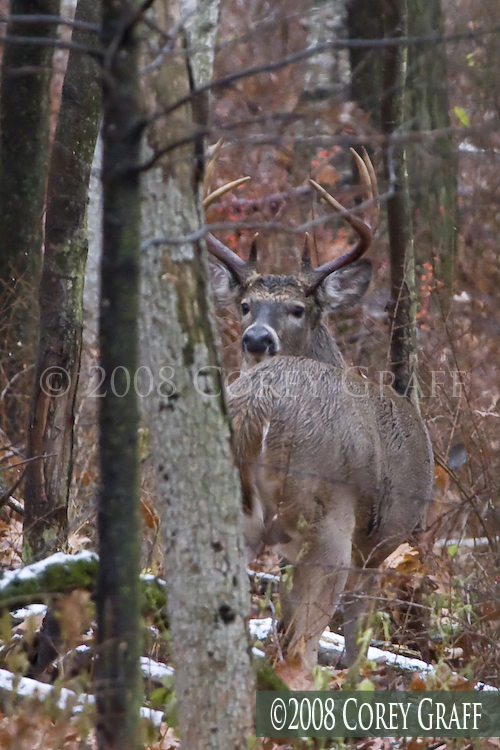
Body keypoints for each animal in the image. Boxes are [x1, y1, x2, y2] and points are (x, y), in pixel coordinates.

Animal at [207, 153, 434, 668]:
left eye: (297, 308)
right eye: (245, 305)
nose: (256, 339)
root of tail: (260, 411)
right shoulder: (380, 541)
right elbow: (356, 642)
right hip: (328, 519)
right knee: (299, 645)